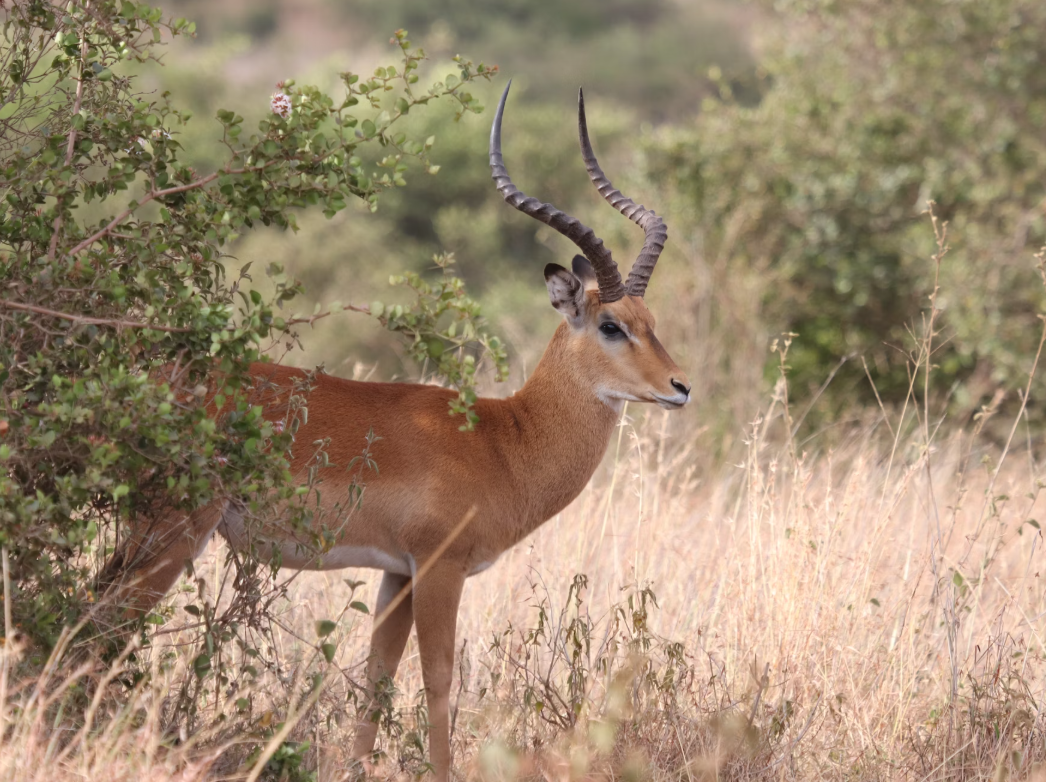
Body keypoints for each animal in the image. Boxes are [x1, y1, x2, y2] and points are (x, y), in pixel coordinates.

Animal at [104, 82, 690, 780]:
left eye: (651, 320)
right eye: (610, 326)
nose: (680, 387)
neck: (503, 440)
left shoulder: (396, 573)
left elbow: (377, 678)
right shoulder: (440, 566)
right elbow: (437, 678)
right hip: (175, 530)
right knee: (111, 620)